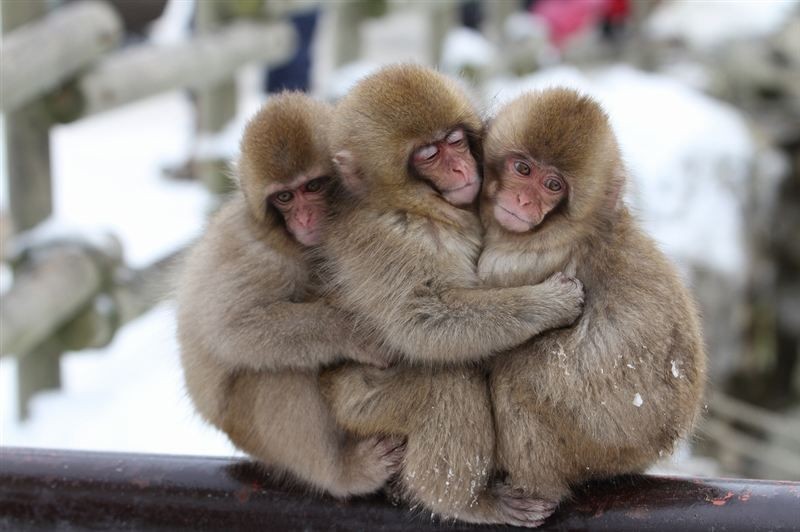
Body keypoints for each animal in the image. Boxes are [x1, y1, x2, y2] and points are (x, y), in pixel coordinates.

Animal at [173, 90, 400, 498]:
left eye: (312, 187)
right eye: (283, 197)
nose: (305, 218)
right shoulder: (258, 258)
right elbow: (232, 329)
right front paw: (352, 334)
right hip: (247, 430)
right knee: (280, 372)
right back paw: (341, 473)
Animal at [318, 64, 588, 524]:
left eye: (456, 141)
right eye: (429, 154)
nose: (462, 169)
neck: (418, 207)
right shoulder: (393, 238)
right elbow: (422, 319)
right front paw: (550, 303)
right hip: (359, 406)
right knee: (448, 381)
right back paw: (469, 503)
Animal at [476, 88, 708, 520]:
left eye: (553, 185)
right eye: (522, 168)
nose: (523, 200)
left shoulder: (524, 260)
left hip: (605, 437)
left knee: (519, 377)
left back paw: (535, 492)